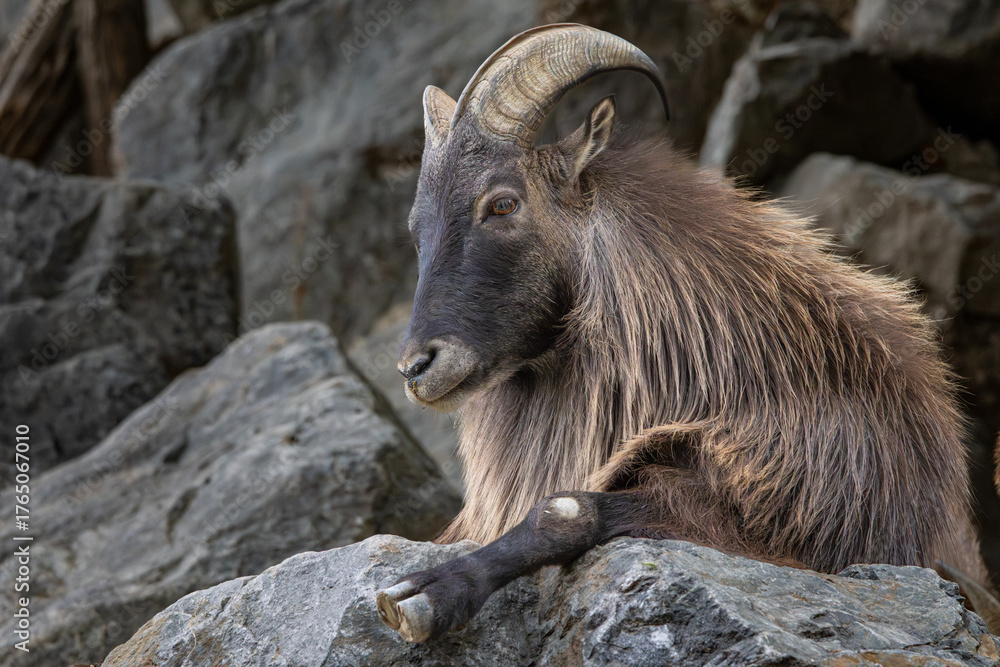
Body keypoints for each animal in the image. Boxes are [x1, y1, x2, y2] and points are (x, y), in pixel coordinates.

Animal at [375, 23, 999, 642]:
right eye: (415, 226)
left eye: (503, 203)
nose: (417, 367)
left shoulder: (772, 514)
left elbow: (566, 512)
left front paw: (420, 595)